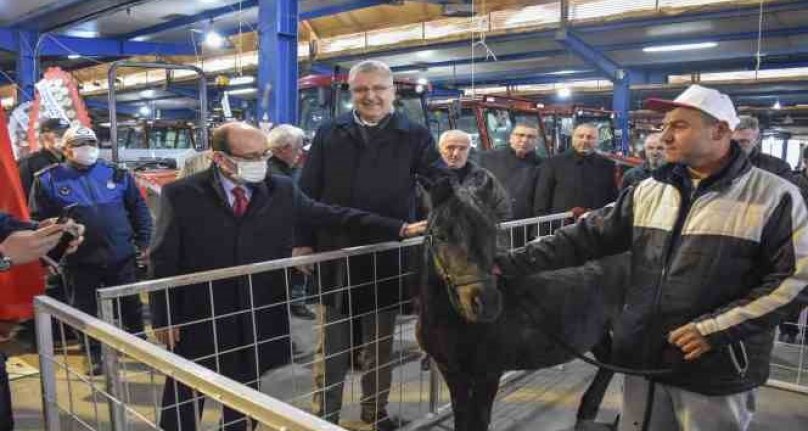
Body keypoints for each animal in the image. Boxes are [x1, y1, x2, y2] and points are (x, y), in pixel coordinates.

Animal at [414, 177, 628, 430]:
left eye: (492, 232)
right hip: (597, 332)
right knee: (608, 362)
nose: (486, 303)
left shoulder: (487, 375)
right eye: (441, 235)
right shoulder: (453, 374)